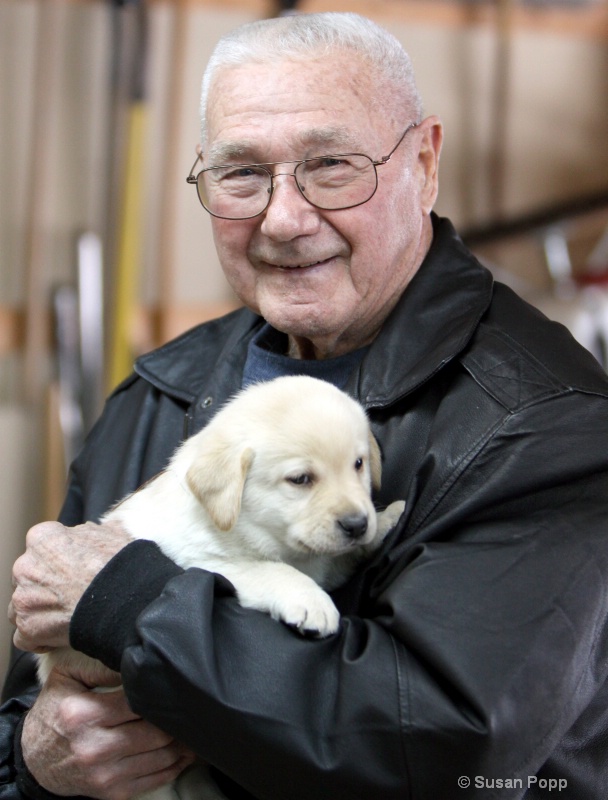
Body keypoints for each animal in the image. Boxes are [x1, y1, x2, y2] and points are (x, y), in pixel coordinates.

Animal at [38, 376, 404, 800]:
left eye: (358, 464)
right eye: (300, 479)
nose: (357, 523)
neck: (247, 524)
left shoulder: (320, 557)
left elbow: (335, 559)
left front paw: (386, 520)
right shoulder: (202, 559)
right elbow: (272, 571)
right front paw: (312, 601)